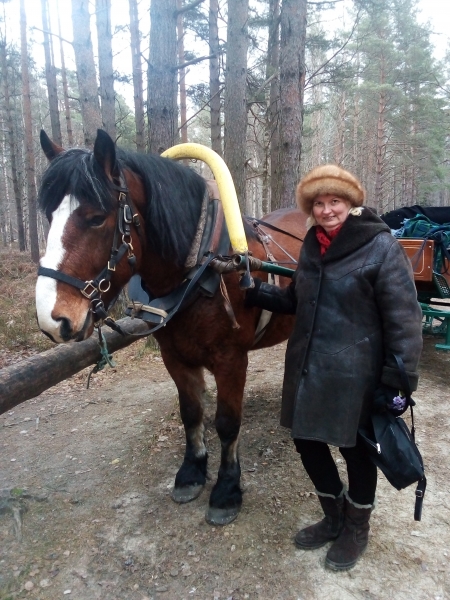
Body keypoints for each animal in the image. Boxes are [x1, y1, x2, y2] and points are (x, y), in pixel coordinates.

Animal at [35, 129, 307, 525]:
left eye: (96, 218)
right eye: (48, 215)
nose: (51, 319)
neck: (201, 267)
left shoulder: (232, 360)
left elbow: (227, 422)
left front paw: (227, 490)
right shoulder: (174, 356)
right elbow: (191, 413)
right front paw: (191, 472)